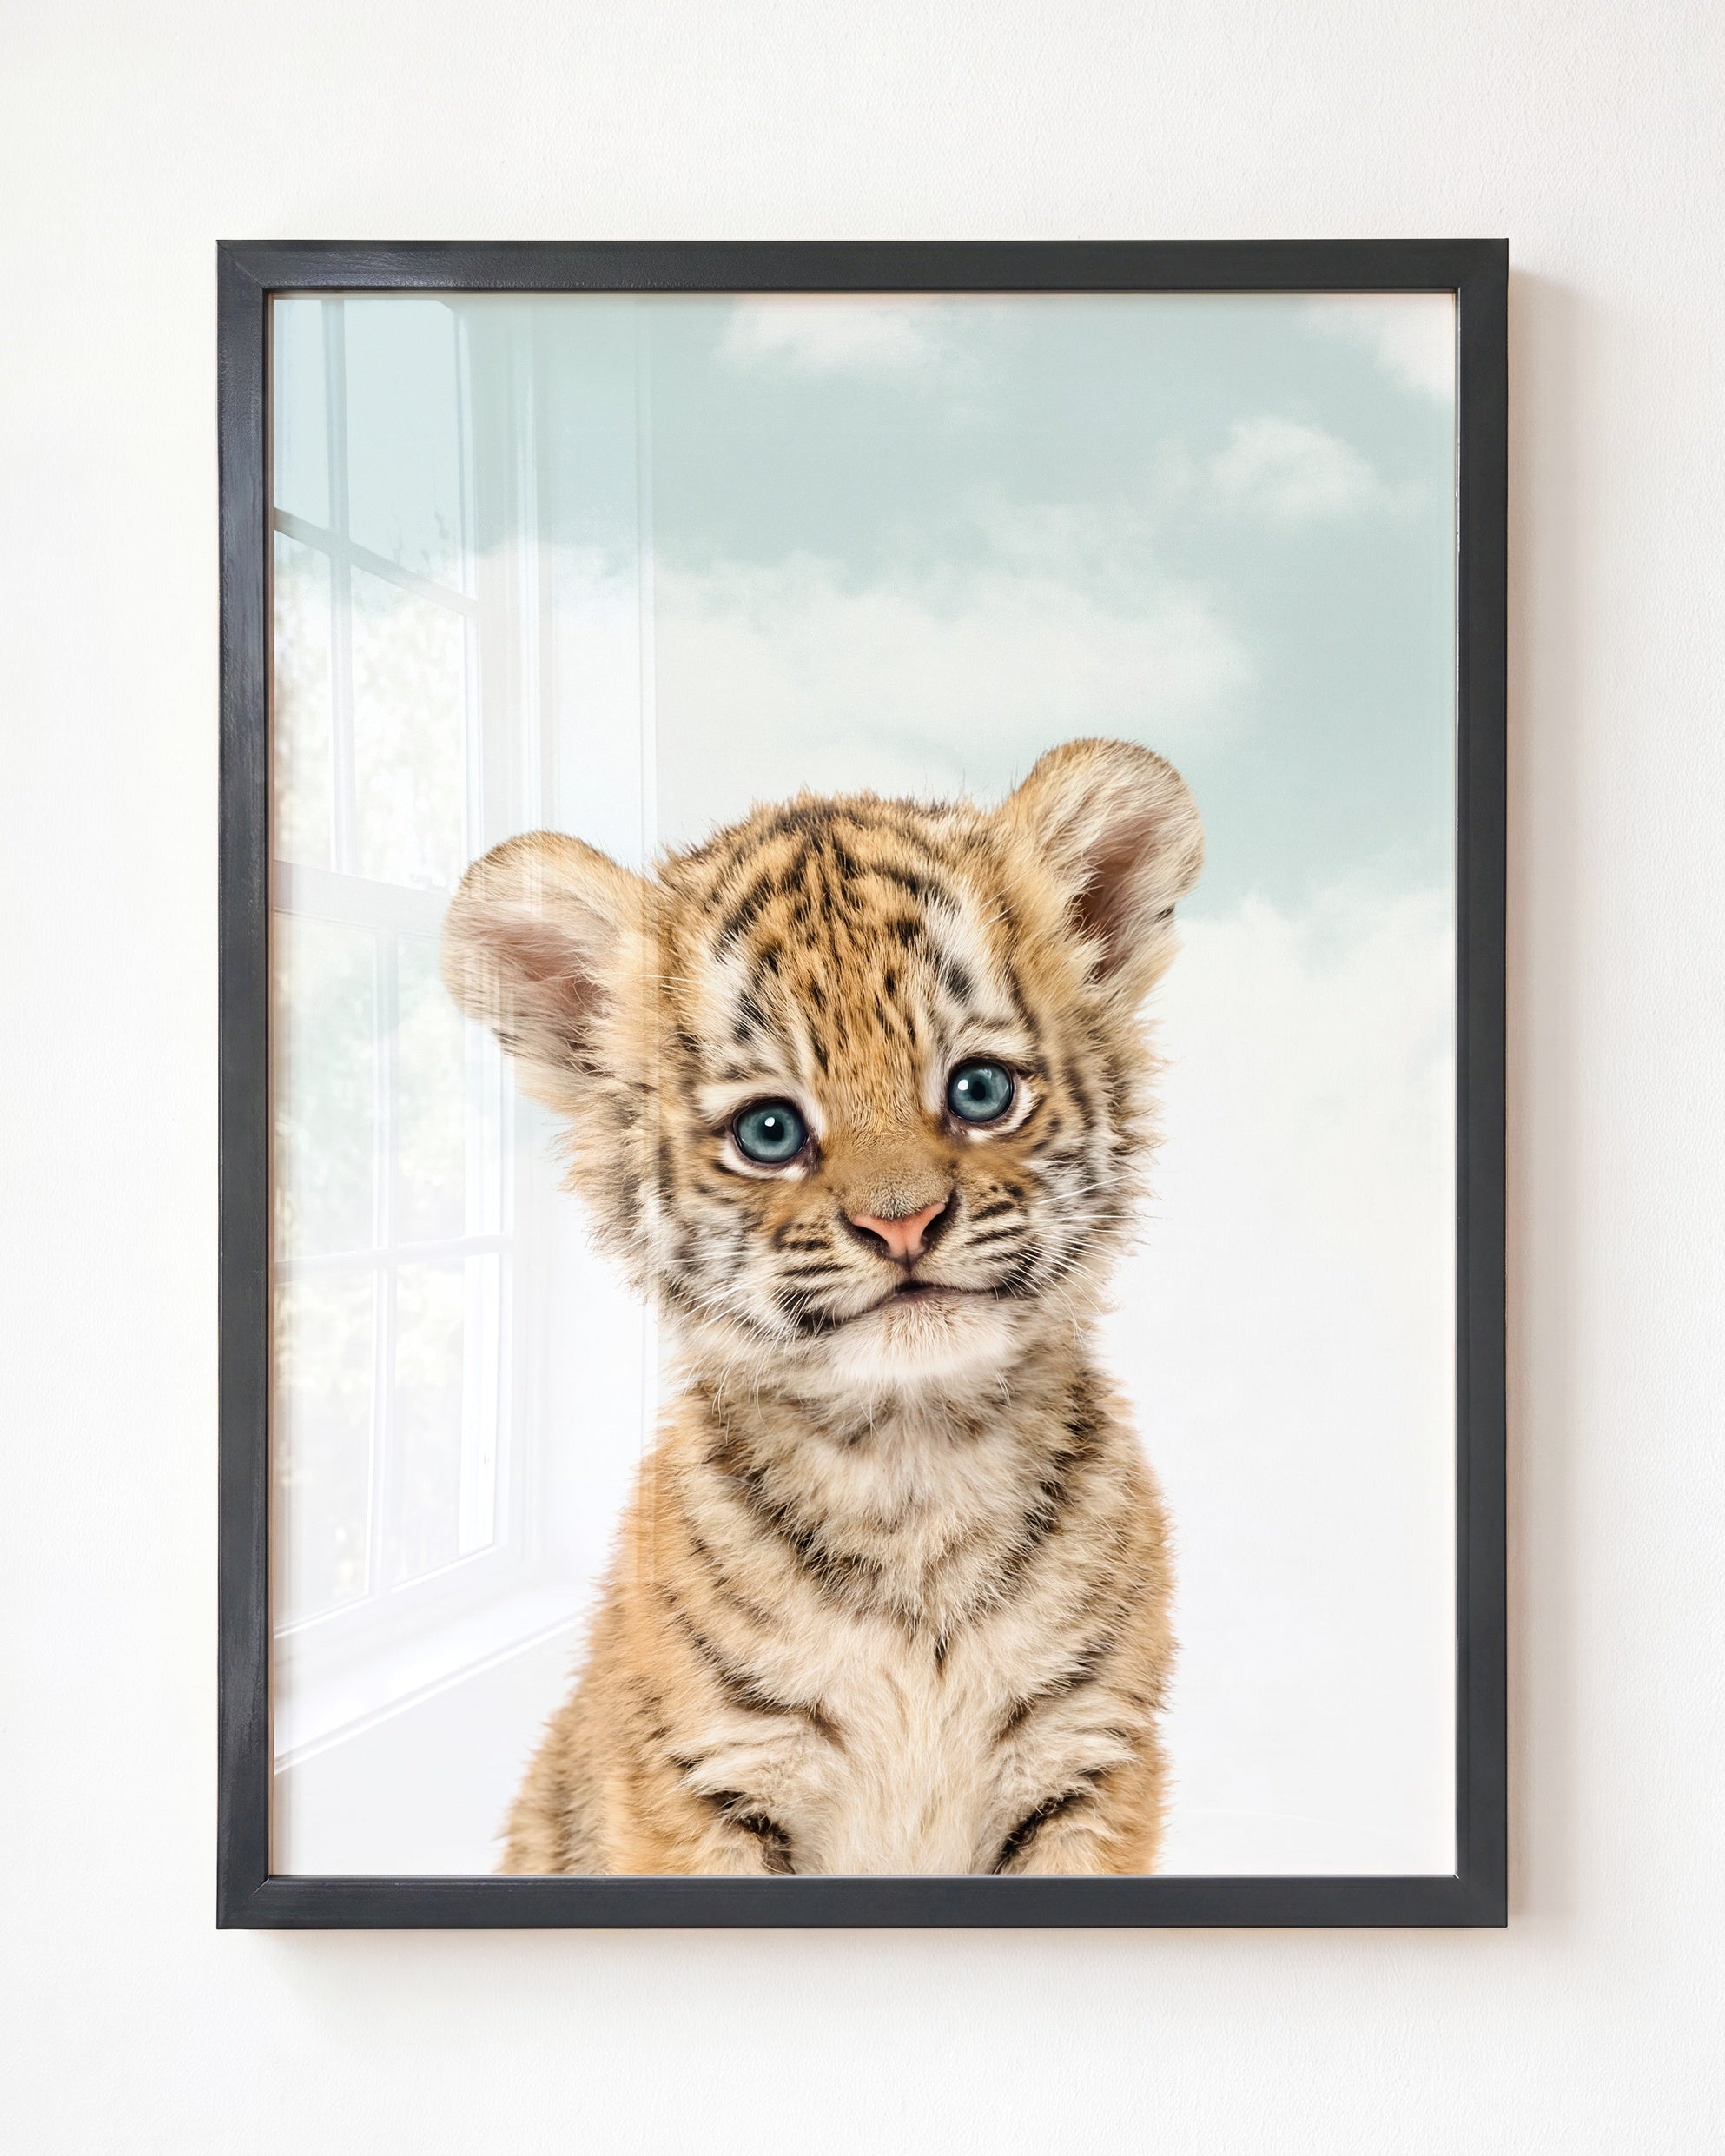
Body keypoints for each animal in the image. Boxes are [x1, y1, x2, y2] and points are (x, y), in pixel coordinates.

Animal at [441, 736, 1204, 1875]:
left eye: (981, 1091)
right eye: (769, 1130)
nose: (904, 1223)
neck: (915, 1468)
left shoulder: (1089, 1759)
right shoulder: (704, 1777)